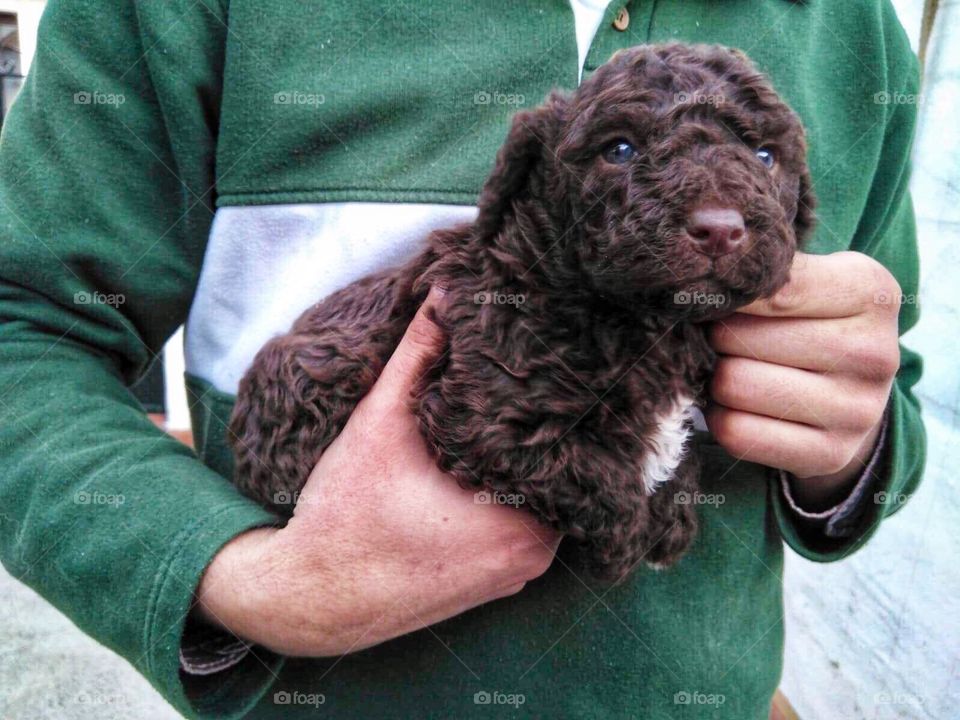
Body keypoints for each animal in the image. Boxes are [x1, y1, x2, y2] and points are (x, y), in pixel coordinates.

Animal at [229, 43, 812, 580]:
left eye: (765, 156)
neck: (634, 321)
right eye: (620, 149)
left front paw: (673, 511)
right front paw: (633, 537)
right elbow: (597, 474)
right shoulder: (488, 415)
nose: (720, 228)